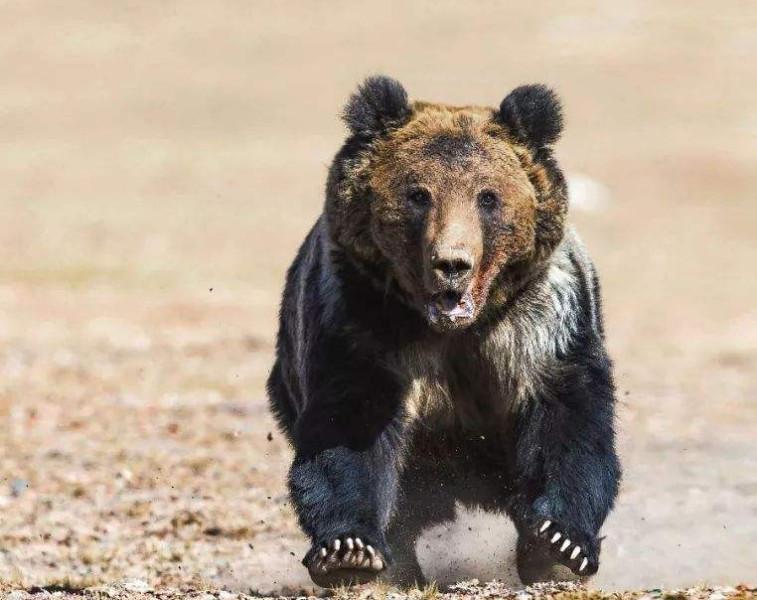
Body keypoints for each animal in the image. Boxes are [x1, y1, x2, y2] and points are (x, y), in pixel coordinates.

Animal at [268, 75, 616, 584]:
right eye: (419, 193)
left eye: (487, 196)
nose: (451, 263)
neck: (453, 328)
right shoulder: (363, 321)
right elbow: (349, 428)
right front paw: (348, 550)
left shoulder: (540, 324)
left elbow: (568, 419)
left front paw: (560, 544)